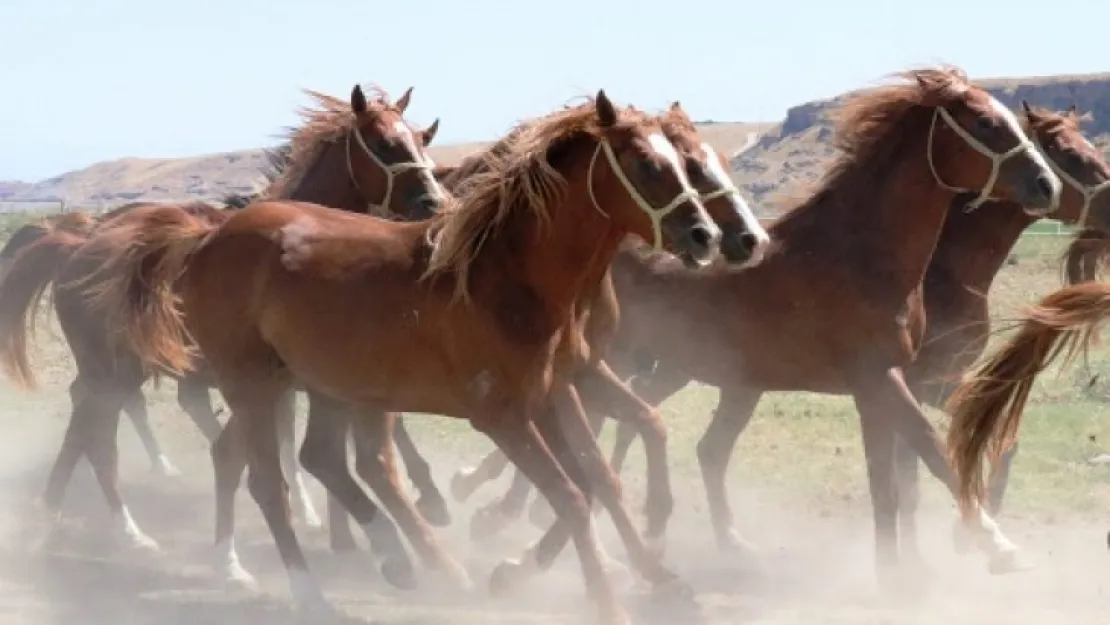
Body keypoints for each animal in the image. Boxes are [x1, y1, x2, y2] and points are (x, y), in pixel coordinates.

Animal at [86, 92, 728, 625]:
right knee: (270, 482)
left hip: (325, 386)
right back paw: (311, 592)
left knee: (323, 461)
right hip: (254, 386)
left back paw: (400, 558)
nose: (706, 236)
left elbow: (597, 482)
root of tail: (207, 239)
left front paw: (640, 576)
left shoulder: (555, 393)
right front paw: (603, 601)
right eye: (647, 164)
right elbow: (570, 497)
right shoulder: (502, 417)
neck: (506, 279)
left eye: (685, 162)